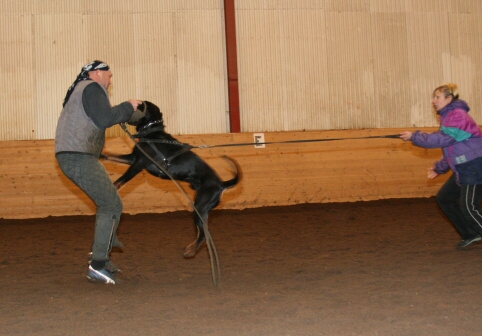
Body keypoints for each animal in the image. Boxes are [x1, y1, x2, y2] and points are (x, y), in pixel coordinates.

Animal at [105, 100, 241, 258]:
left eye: (140, 104)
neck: (151, 134)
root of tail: (221, 184)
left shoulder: (138, 164)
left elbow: (121, 180)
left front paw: (113, 187)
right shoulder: (132, 158)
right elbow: (110, 155)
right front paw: (101, 154)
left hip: (200, 208)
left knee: (203, 234)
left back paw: (191, 250)